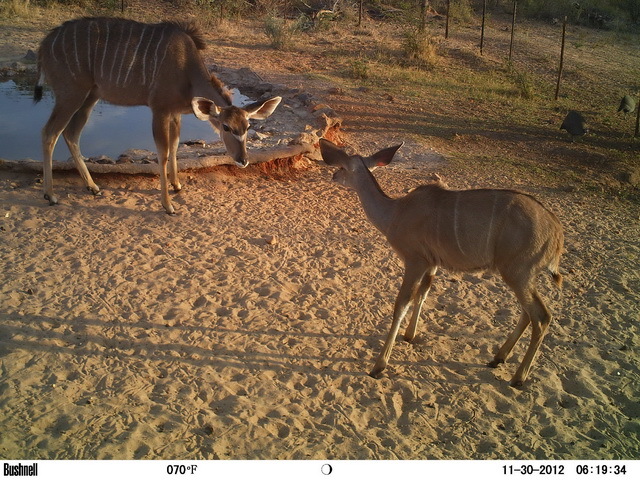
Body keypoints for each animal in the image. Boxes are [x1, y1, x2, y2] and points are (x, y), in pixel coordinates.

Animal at [35, 17, 280, 214]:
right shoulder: (159, 109)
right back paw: (50, 195)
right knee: (50, 132)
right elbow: (162, 153)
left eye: (248, 127)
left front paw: (177, 185)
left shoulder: (175, 113)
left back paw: (92, 187)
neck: (186, 69)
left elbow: (175, 146)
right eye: (226, 127)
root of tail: (44, 46)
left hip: (91, 95)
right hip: (71, 93)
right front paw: (168, 205)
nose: (243, 160)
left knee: (71, 133)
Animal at [320, 139, 564, 386]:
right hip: (522, 276)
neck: (395, 213)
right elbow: (423, 293)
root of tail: (556, 232)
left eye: (341, 167)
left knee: (542, 316)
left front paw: (379, 365)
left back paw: (518, 378)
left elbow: (402, 303)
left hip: (518, 272)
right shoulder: (432, 263)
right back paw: (497, 358)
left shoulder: (415, 260)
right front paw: (409, 336)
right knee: (528, 312)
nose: (333, 176)